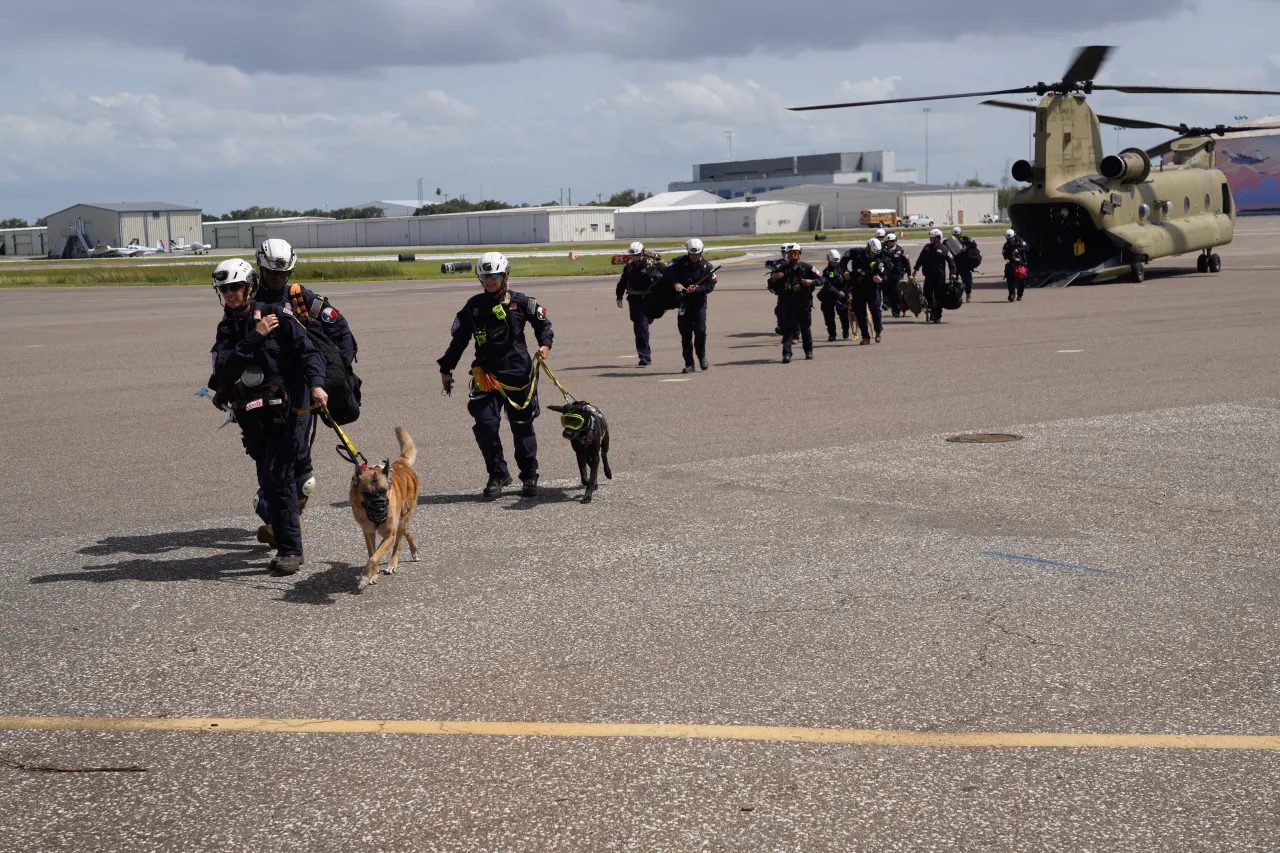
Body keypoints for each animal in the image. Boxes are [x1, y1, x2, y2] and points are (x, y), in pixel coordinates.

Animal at [350, 425, 419, 591]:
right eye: (366, 494)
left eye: (383, 491)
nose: (380, 510)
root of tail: (400, 464)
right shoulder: (368, 532)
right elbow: (372, 553)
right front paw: (372, 574)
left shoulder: (389, 534)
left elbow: (374, 557)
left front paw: (365, 576)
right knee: (406, 532)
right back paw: (413, 550)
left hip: (401, 520)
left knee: (398, 543)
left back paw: (392, 564)